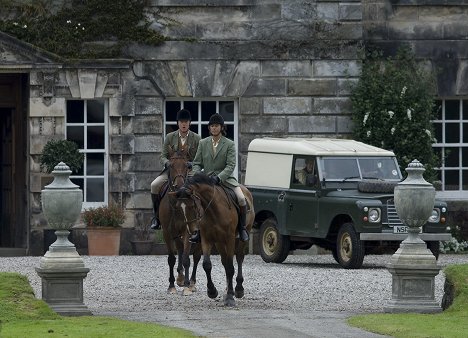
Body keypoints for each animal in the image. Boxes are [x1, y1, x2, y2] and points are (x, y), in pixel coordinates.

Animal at [158, 149, 202, 296]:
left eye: (186, 166)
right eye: (170, 166)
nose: (180, 186)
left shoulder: (187, 230)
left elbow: (187, 259)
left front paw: (187, 286)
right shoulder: (167, 232)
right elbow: (172, 258)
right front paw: (172, 285)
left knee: (196, 257)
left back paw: (192, 283)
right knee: (180, 249)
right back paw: (181, 277)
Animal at [172, 172, 254, 306]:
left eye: (192, 205)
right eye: (179, 207)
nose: (191, 231)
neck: (213, 209)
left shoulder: (230, 239)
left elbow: (231, 267)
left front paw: (230, 297)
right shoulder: (207, 239)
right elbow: (207, 265)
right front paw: (212, 291)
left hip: (241, 237)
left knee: (239, 258)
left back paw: (238, 289)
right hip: (219, 242)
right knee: (224, 262)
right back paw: (228, 289)